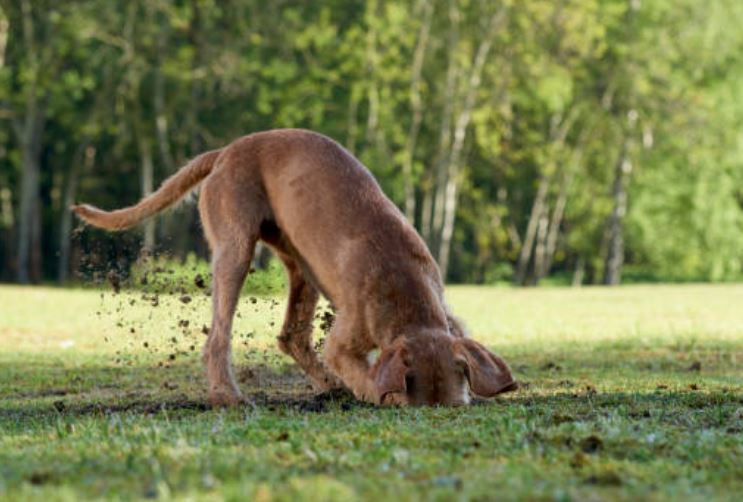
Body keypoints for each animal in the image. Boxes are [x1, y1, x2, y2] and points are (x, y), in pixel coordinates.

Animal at [75, 127, 516, 406]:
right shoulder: (344, 341)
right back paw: (227, 395)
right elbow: (366, 376)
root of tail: (226, 151)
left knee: (292, 336)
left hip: (301, 265)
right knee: (218, 336)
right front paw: (378, 394)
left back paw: (328, 385)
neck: (407, 295)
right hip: (235, 248)